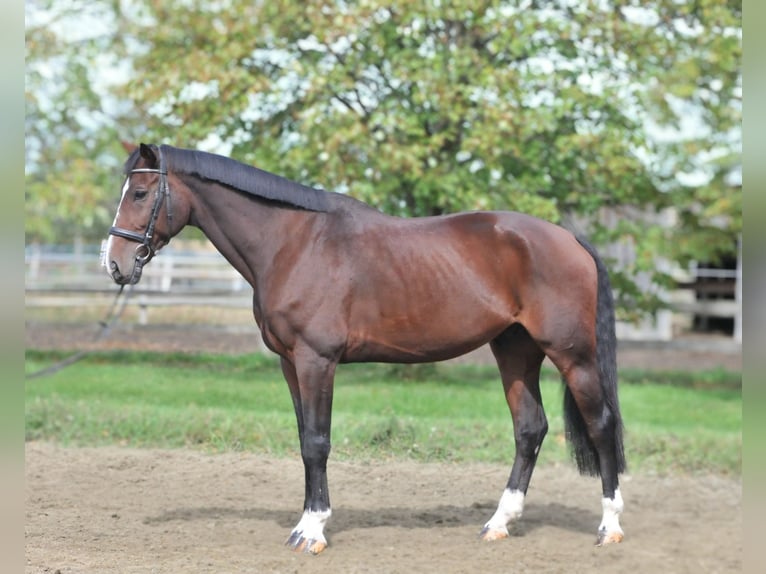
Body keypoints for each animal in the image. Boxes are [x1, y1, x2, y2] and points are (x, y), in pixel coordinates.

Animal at [105, 145, 628, 560]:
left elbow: (317, 442)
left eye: (140, 194)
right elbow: (304, 440)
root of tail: (569, 238)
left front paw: (312, 531)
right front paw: (305, 523)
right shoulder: (290, 364)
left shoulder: (317, 360)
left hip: (573, 355)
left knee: (601, 426)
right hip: (515, 351)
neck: (294, 243)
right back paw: (498, 523)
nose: (115, 264)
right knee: (529, 429)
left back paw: (609, 527)